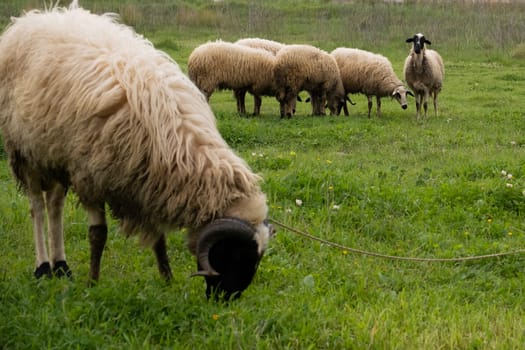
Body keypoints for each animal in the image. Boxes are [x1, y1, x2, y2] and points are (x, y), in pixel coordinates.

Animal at [0, 1, 276, 300]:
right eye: (235, 254)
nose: (225, 300)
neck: (176, 140)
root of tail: (34, 18)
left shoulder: (148, 183)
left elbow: (159, 239)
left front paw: (167, 280)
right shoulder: (90, 177)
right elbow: (98, 235)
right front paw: (93, 283)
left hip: (56, 154)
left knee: (54, 205)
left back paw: (61, 266)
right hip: (26, 152)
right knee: (37, 208)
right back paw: (42, 268)